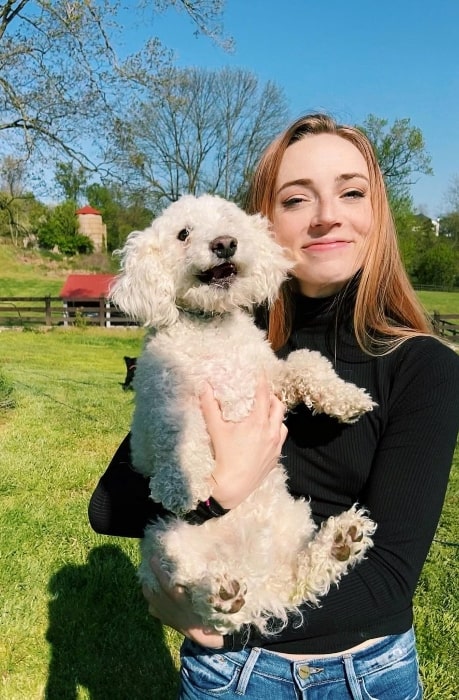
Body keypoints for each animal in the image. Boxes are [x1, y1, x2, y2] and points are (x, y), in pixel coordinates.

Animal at [111, 194, 378, 636]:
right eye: (183, 234)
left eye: (230, 224)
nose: (224, 244)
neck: (211, 329)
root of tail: (255, 575)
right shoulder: (163, 399)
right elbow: (178, 433)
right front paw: (180, 483)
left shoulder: (270, 379)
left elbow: (307, 364)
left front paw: (348, 396)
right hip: (166, 540)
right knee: (200, 596)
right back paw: (222, 594)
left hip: (291, 523)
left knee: (299, 579)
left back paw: (340, 543)